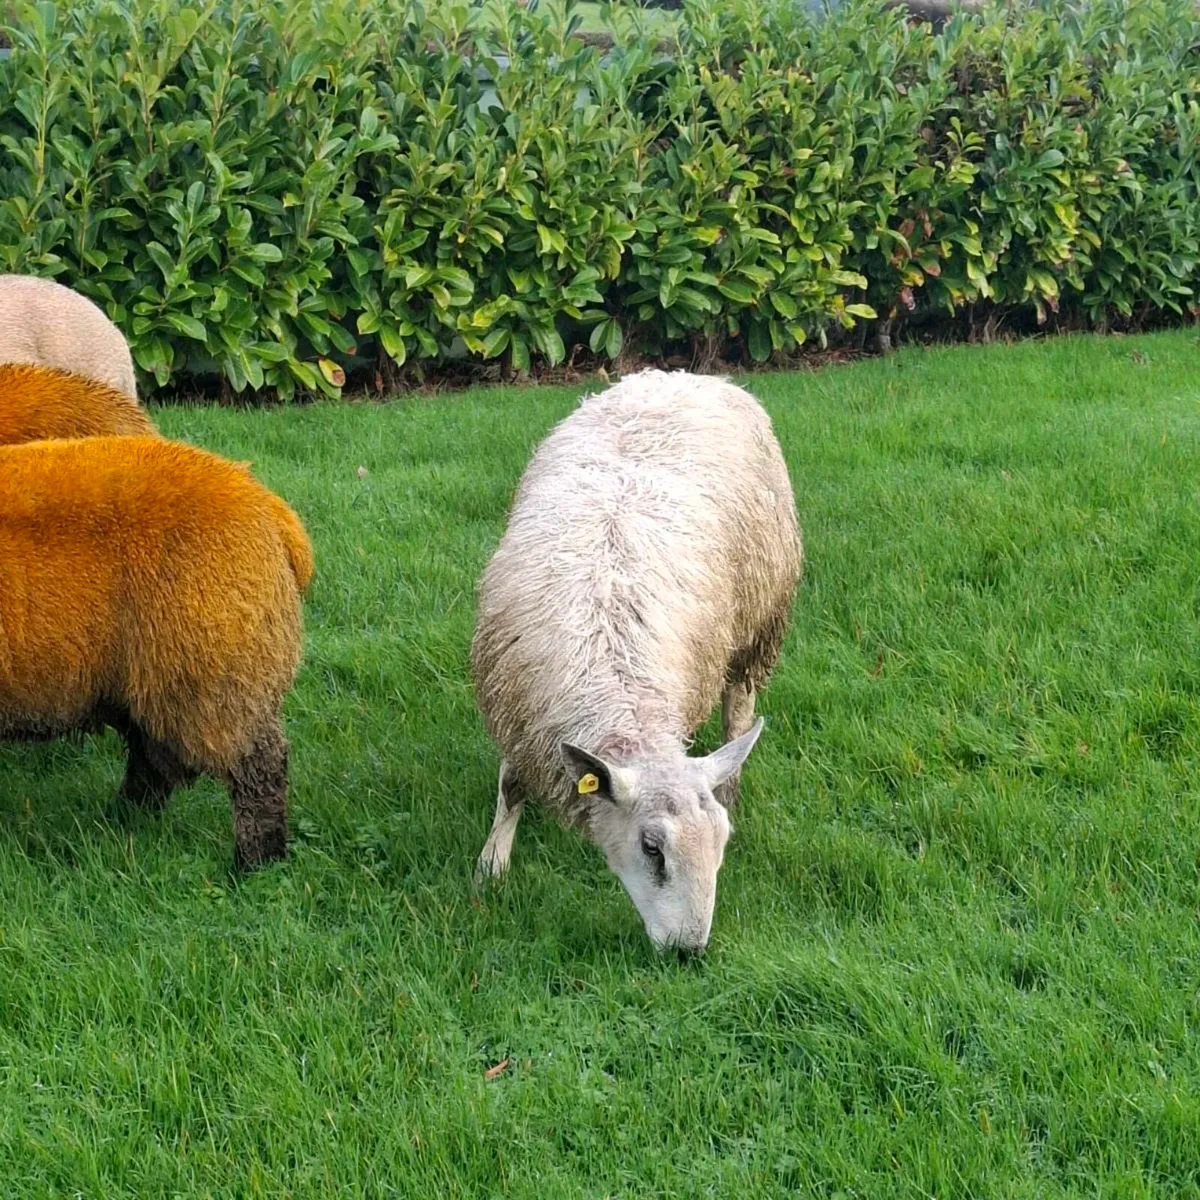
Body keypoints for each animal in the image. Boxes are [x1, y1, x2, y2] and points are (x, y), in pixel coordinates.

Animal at [0, 435, 314, 868]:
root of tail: (267, 507)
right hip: (155, 675)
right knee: (153, 759)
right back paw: (120, 820)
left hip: (215, 672)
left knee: (258, 767)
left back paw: (254, 861)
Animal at [470, 368, 803, 953]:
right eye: (652, 849)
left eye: (721, 844)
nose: (689, 951)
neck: (615, 676)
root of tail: (684, 376)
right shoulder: (517, 709)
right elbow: (511, 788)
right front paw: (492, 867)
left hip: (758, 622)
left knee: (739, 708)